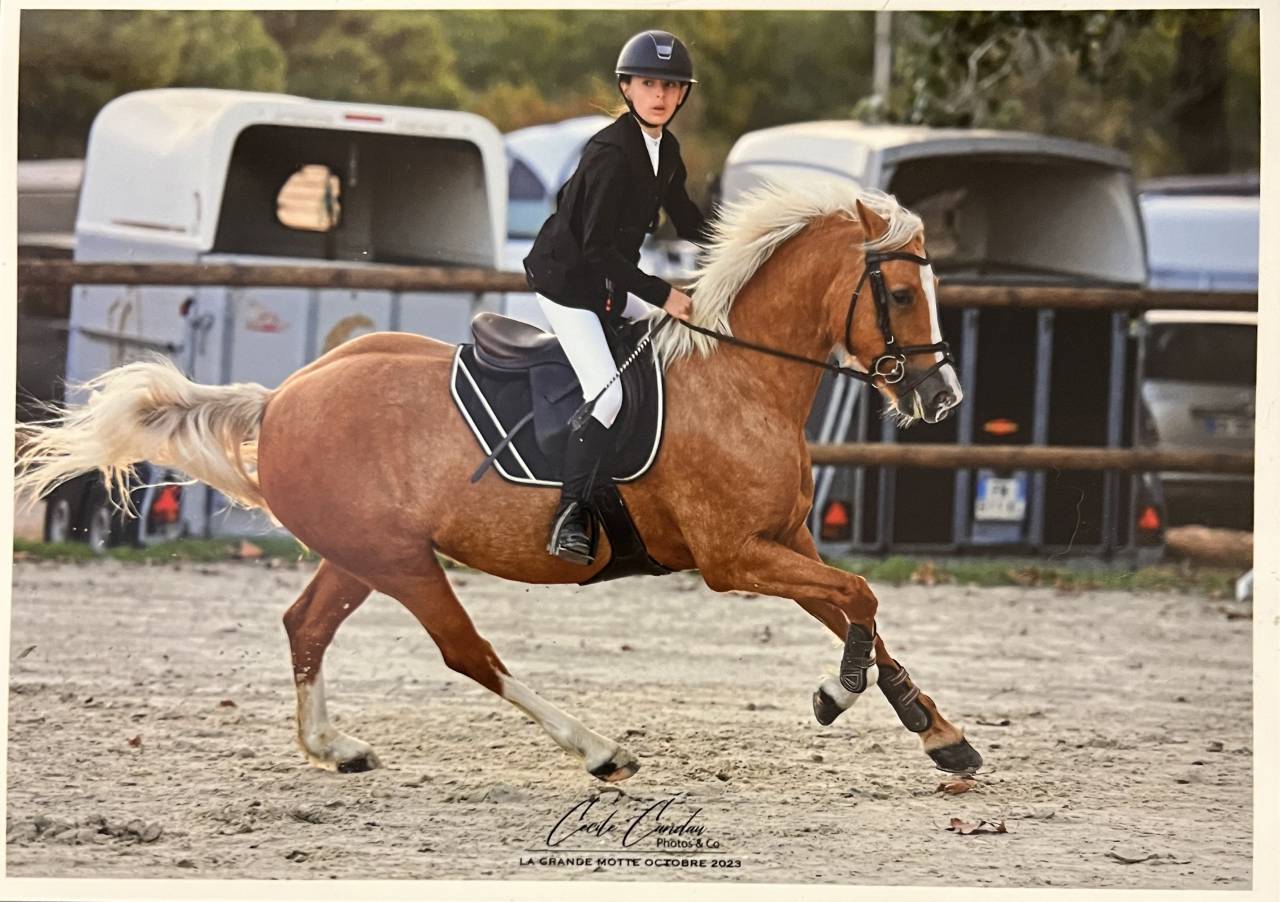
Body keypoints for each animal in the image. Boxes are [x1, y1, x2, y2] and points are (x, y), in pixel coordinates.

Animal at [15, 182, 981, 784]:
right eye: (900, 294)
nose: (941, 397)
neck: (739, 378)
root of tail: (284, 396)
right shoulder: (734, 558)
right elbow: (859, 600)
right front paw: (836, 694)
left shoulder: (788, 542)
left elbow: (858, 610)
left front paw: (941, 735)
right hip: (402, 561)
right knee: (465, 653)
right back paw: (597, 751)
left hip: (362, 554)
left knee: (306, 626)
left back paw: (337, 747)